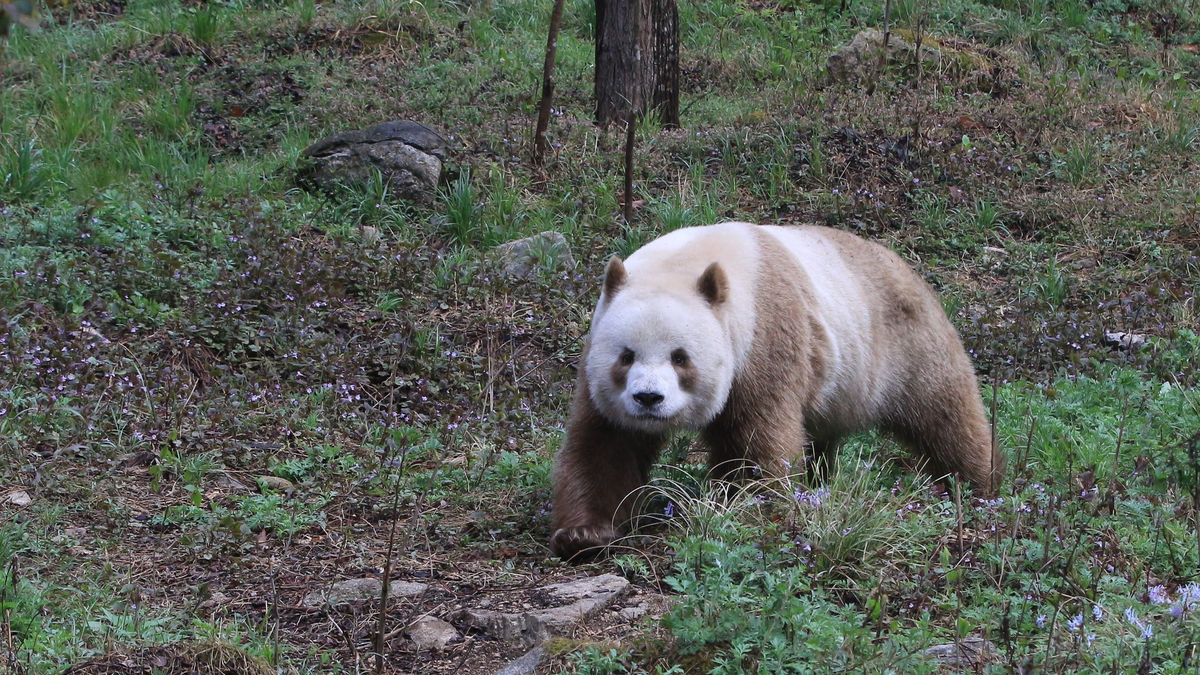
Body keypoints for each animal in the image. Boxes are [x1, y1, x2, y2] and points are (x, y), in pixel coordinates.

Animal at [550, 222, 1003, 561]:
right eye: (626, 356)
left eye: (680, 358)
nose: (648, 399)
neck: (688, 262)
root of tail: (904, 264)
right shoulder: (597, 359)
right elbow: (605, 443)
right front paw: (584, 535)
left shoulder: (762, 336)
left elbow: (757, 440)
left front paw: (747, 510)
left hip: (900, 344)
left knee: (944, 413)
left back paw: (979, 486)